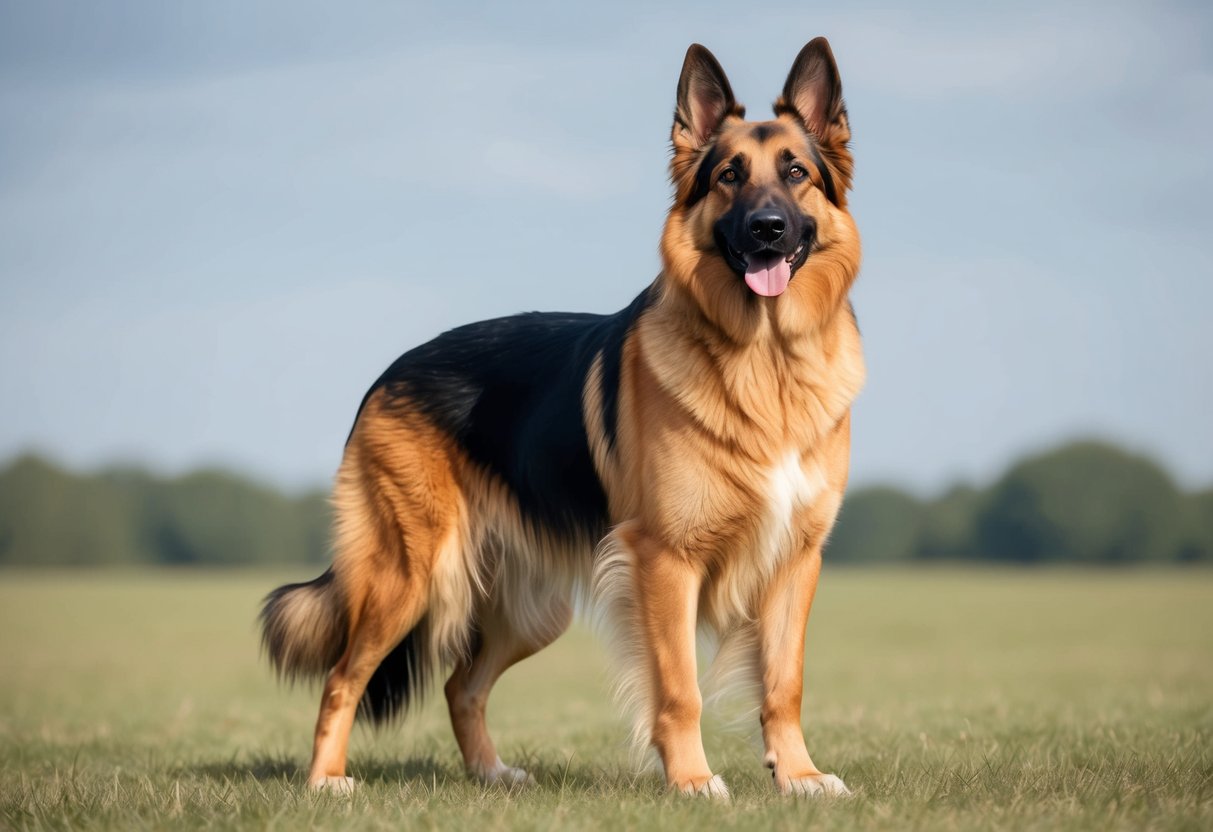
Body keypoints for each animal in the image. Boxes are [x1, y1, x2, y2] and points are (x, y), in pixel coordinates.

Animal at [260, 39, 863, 800]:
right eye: (729, 176)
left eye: (796, 174)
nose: (767, 229)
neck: (767, 358)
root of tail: (390, 373)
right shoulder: (665, 562)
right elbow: (680, 689)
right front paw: (692, 781)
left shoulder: (794, 563)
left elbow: (784, 684)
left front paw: (799, 775)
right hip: (407, 577)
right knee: (343, 677)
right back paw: (326, 781)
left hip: (530, 612)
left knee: (461, 684)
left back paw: (491, 774)